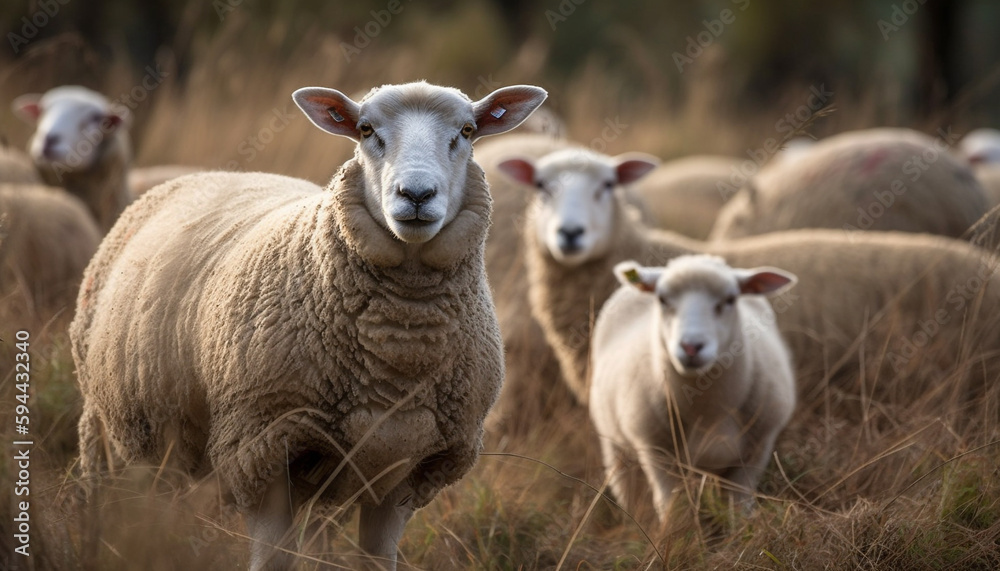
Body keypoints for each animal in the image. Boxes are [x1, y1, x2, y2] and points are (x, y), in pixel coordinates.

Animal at [70, 80, 548, 571]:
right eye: (366, 129)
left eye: (467, 131)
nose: (416, 195)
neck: (401, 349)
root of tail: (199, 175)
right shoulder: (261, 447)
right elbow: (271, 559)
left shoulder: (407, 466)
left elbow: (377, 559)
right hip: (107, 426)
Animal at [584, 255, 796, 524]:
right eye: (662, 299)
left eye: (730, 299)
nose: (691, 347)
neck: (709, 408)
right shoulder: (658, 453)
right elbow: (674, 510)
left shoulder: (757, 449)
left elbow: (740, 508)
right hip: (616, 445)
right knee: (629, 490)